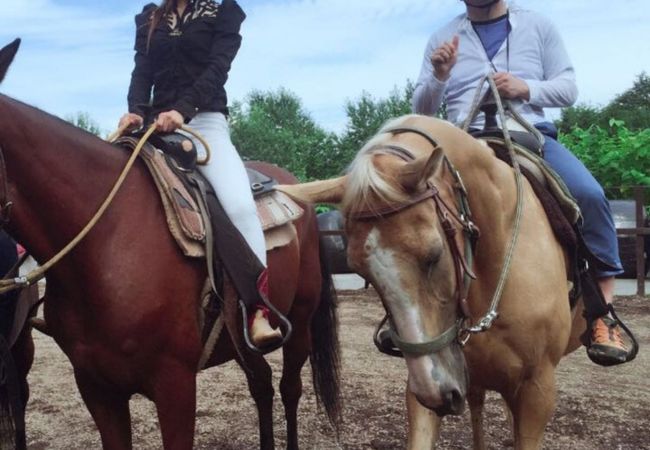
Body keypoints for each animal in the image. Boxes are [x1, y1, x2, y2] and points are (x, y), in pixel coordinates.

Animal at [0, 40, 342, 448]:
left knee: (291, 389)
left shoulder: (175, 385)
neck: (104, 244)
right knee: (261, 385)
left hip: (301, 320)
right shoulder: (97, 388)